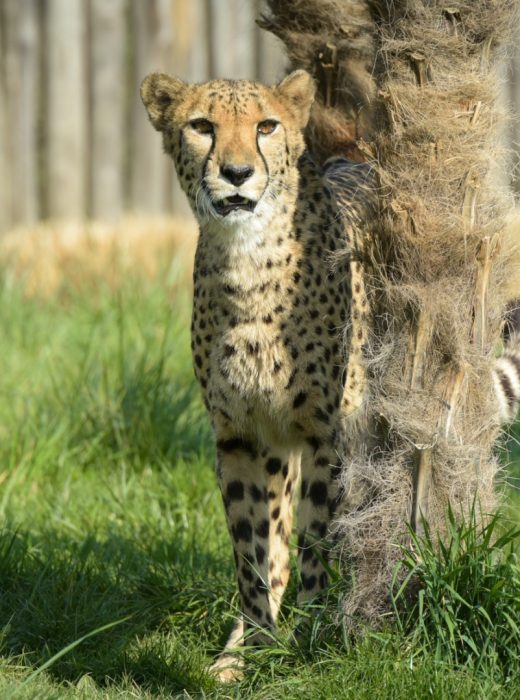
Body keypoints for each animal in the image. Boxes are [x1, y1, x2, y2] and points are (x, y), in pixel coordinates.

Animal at [140, 69, 372, 680]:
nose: (238, 173)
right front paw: (254, 648)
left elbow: (316, 541)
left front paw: (311, 641)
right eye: (202, 126)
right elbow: (251, 551)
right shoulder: (240, 436)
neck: (248, 259)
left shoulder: (322, 432)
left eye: (266, 126)